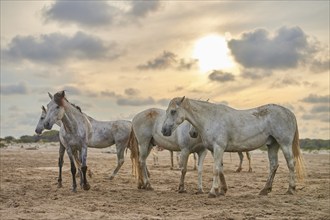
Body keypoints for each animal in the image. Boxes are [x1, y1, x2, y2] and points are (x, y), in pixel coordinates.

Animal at [161, 97, 306, 197]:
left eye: (173, 111)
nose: (164, 130)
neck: (211, 118)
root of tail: (288, 112)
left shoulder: (218, 148)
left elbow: (215, 169)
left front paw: (213, 192)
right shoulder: (215, 150)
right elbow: (220, 169)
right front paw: (222, 190)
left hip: (284, 144)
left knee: (291, 164)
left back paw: (290, 189)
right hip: (273, 145)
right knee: (274, 165)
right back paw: (265, 190)